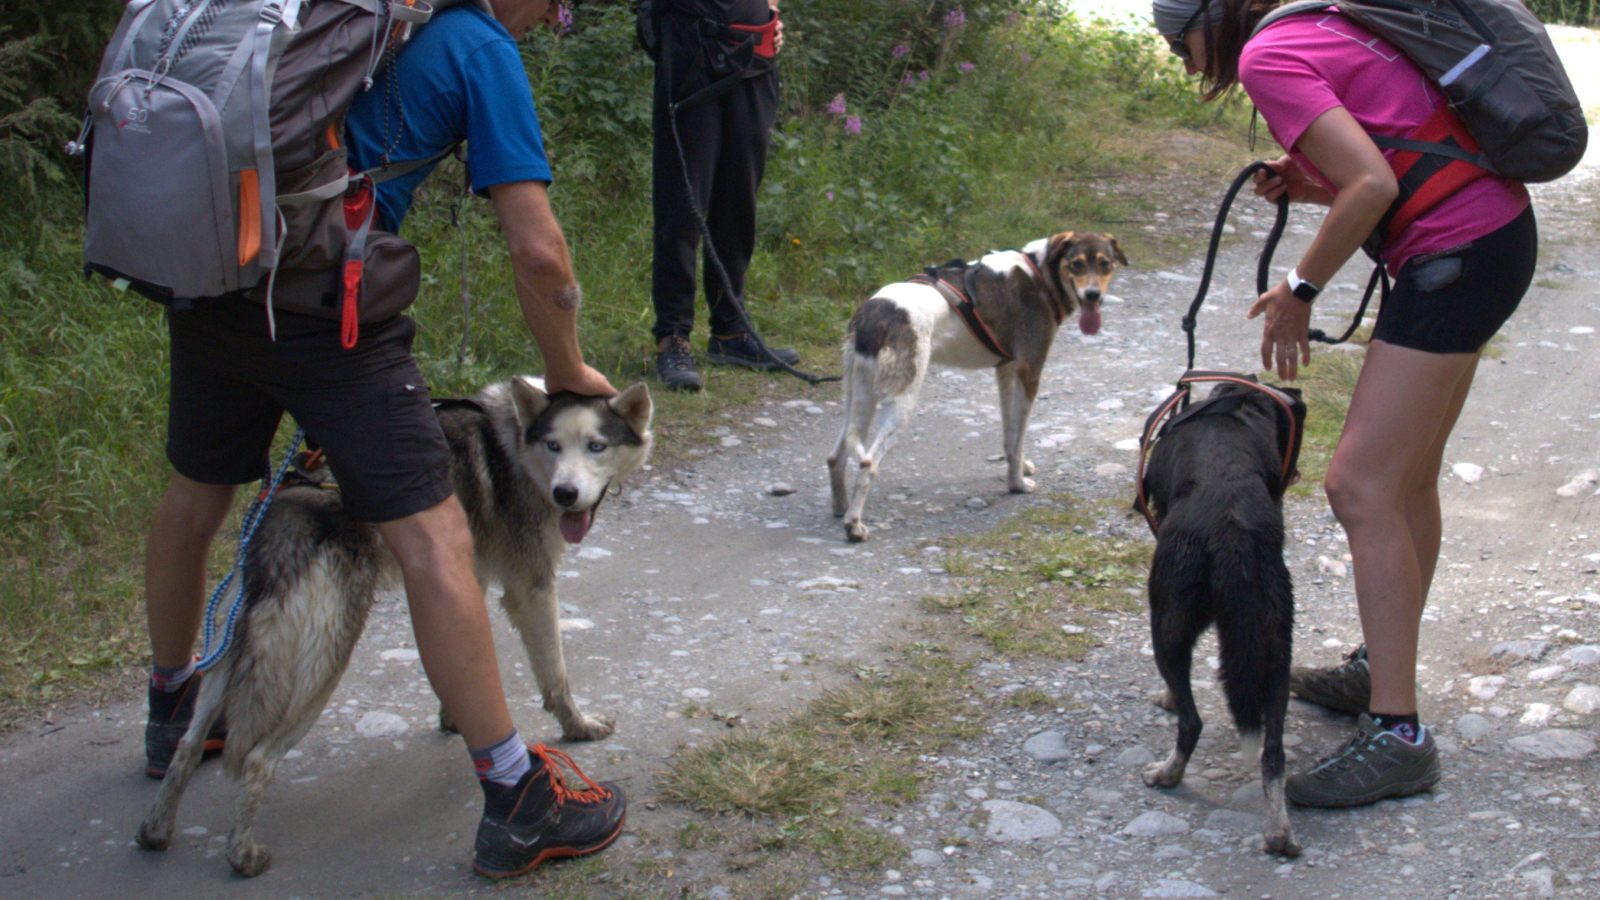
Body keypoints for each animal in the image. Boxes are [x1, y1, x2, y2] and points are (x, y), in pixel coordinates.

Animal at [825, 230, 1126, 538]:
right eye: (1076, 264)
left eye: (1105, 264)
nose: (1093, 295)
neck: (1040, 273)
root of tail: (871, 315)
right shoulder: (1030, 373)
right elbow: (1017, 440)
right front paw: (1017, 485)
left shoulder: (1006, 371)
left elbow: (1010, 436)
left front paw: (1019, 469)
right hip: (900, 402)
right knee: (868, 463)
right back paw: (854, 525)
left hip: (858, 397)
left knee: (836, 456)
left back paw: (841, 507)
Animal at [1139, 379, 1299, 851]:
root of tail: (1232, 534)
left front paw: (1167, 698)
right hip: (1274, 645)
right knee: (1273, 752)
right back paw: (1279, 832)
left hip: (1167, 622)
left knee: (1192, 722)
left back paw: (1167, 774)